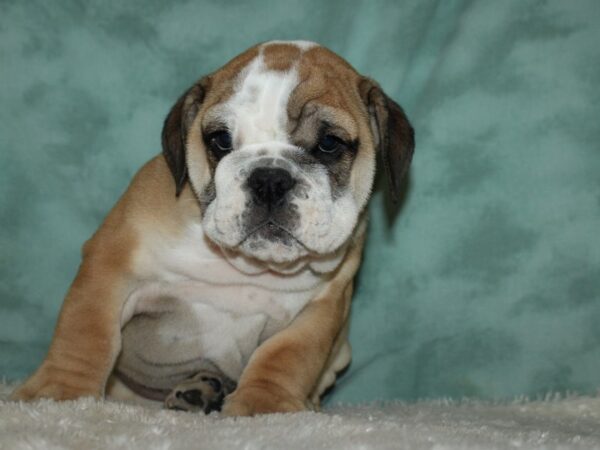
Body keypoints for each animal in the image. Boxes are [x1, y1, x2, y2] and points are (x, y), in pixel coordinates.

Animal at [10, 40, 412, 416]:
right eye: (220, 140)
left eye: (329, 143)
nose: (269, 179)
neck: (247, 266)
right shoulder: (110, 264)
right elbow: (87, 332)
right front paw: (61, 393)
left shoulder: (323, 307)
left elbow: (287, 355)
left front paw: (264, 404)